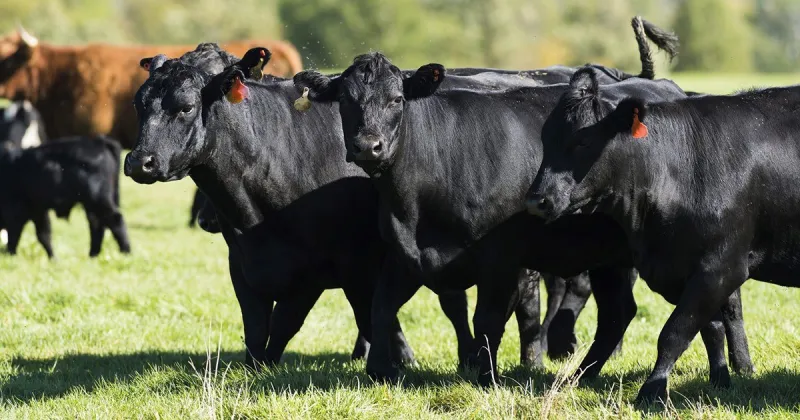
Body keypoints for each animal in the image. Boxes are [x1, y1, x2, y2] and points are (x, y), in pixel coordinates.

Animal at [0, 134, 130, 258]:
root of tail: (98, 141)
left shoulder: (16, 213)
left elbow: (14, 237)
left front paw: (10, 255)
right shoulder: (38, 212)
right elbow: (43, 235)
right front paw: (53, 259)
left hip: (98, 199)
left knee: (115, 220)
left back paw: (126, 252)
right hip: (90, 204)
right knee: (97, 224)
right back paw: (93, 254)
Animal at [291, 48, 754, 388]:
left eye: (397, 100)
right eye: (345, 101)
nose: (369, 146)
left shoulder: (500, 259)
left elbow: (486, 320)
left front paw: (486, 376)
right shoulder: (405, 254)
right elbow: (381, 306)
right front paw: (379, 372)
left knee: (722, 305)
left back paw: (733, 370)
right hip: (610, 257)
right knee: (618, 313)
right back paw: (581, 376)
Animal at [523, 67, 788, 403]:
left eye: (582, 141)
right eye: (545, 139)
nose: (536, 200)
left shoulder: (722, 267)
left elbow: (674, 333)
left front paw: (652, 392)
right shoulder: (680, 270)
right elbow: (710, 327)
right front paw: (720, 381)